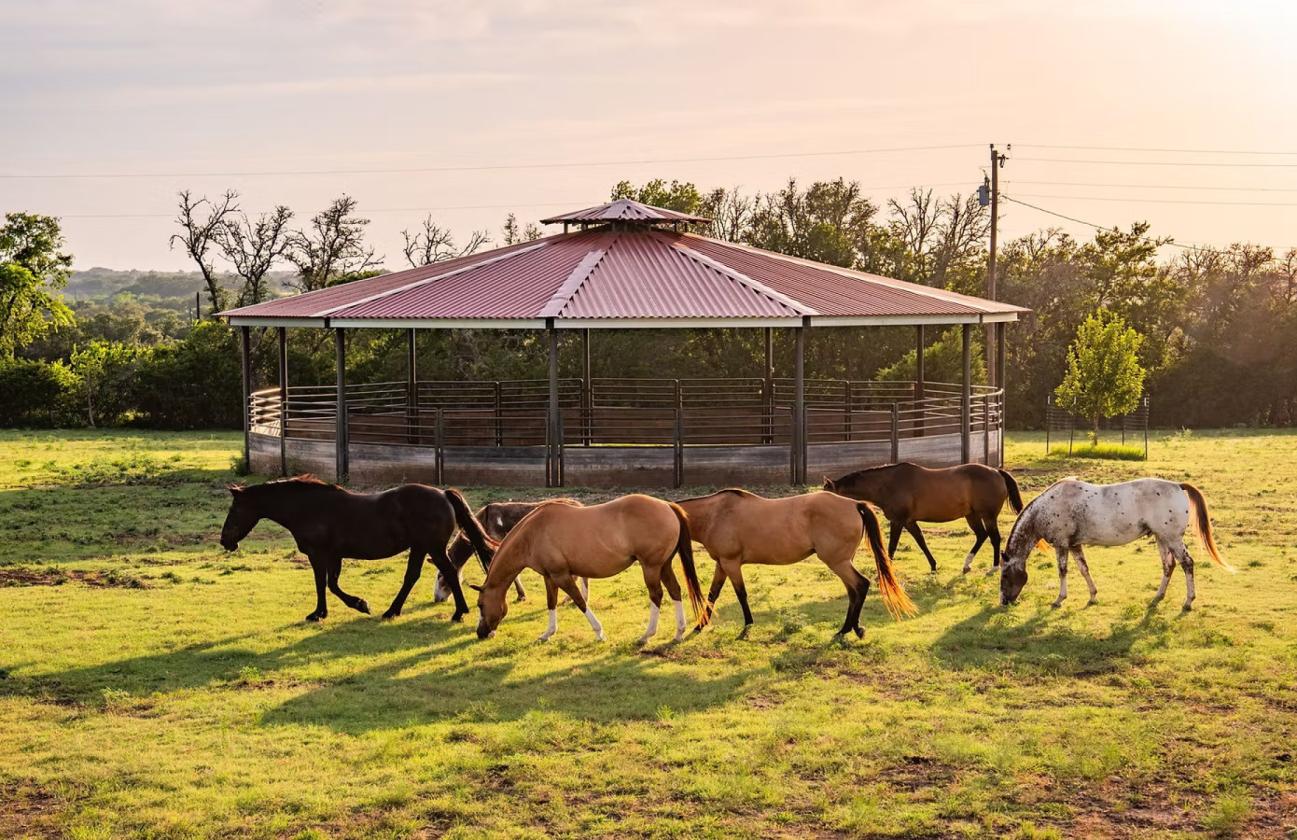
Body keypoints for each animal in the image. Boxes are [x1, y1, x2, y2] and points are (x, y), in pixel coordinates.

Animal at [219, 476, 494, 624]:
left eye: (234, 509)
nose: (225, 541)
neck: (309, 508)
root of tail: (443, 494)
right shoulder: (333, 556)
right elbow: (329, 584)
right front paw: (342, 608)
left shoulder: (319, 555)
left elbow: (324, 584)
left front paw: (339, 609)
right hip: (420, 547)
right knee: (413, 577)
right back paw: (392, 611)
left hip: (433, 548)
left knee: (448, 573)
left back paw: (458, 612)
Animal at [472, 494, 708, 643]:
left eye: (481, 605)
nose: (481, 633)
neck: (533, 533)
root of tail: (668, 506)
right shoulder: (550, 576)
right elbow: (551, 603)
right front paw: (548, 633)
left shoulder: (562, 575)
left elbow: (580, 601)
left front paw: (599, 632)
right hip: (663, 565)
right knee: (675, 591)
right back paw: (678, 633)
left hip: (651, 567)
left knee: (656, 595)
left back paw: (646, 635)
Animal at [675, 489, 916, 639]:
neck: (716, 514)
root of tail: (854, 505)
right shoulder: (722, 564)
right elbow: (713, 594)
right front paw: (699, 625)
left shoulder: (731, 563)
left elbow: (741, 594)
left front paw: (747, 626)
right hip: (843, 562)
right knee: (853, 591)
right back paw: (851, 628)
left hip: (837, 562)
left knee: (861, 585)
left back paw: (847, 629)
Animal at [824, 463, 1024, 574]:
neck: (888, 484)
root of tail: (997, 472)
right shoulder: (909, 522)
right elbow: (921, 541)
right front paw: (934, 566)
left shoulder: (898, 521)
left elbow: (892, 546)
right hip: (971, 515)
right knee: (982, 535)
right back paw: (967, 565)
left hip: (988, 516)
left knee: (994, 538)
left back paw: (995, 567)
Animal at [999, 478, 1231, 610]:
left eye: (1005, 575)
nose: (1004, 602)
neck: (1048, 507)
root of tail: (1177, 486)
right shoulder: (1074, 545)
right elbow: (1084, 569)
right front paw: (1093, 596)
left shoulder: (1062, 545)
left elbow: (1062, 571)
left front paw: (1059, 599)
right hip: (1162, 538)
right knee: (1169, 566)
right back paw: (1158, 596)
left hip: (1172, 539)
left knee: (1187, 564)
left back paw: (1188, 602)